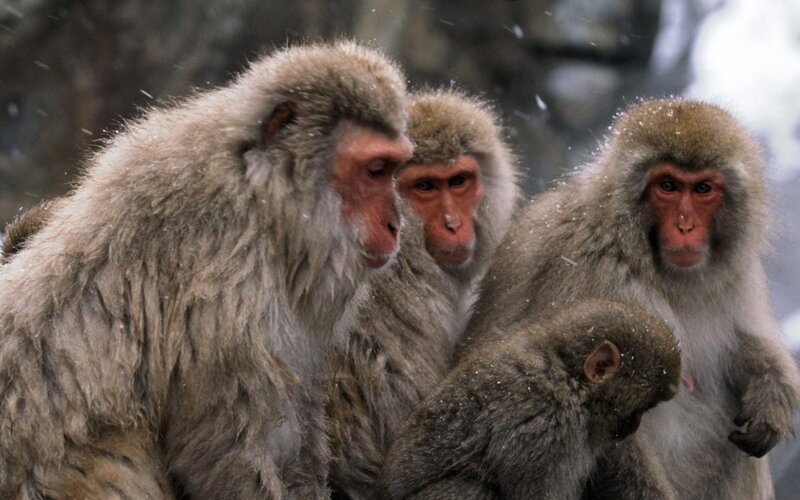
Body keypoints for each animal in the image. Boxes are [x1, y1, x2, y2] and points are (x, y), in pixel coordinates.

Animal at [0, 41, 413, 499]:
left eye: (394, 169)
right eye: (375, 171)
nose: (395, 224)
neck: (261, 193)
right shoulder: (231, 287)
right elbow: (227, 452)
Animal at [457, 99, 800, 499]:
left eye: (702, 189)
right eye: (667, 186)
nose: (685, 226)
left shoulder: (736, 276)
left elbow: (743, 344)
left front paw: (772, 396)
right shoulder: (593, 270)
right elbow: (608, 415)